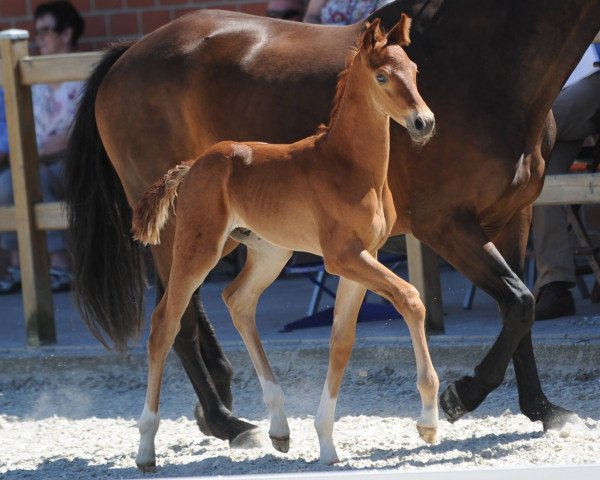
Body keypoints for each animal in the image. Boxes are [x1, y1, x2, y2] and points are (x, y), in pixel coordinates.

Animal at [134, 15, 438, 468]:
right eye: (382, 76)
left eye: (415, 72)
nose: (424, 122)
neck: (350, 166)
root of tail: (192, 165)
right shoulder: (343, 257)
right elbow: (410, 298)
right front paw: (428, 422)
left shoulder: (363, 257)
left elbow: (342, 341)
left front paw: (327, 443)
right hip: (199, 247)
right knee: (164, 325)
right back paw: (145, 447)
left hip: (269, 252)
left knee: (238, 300)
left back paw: (279, 427)